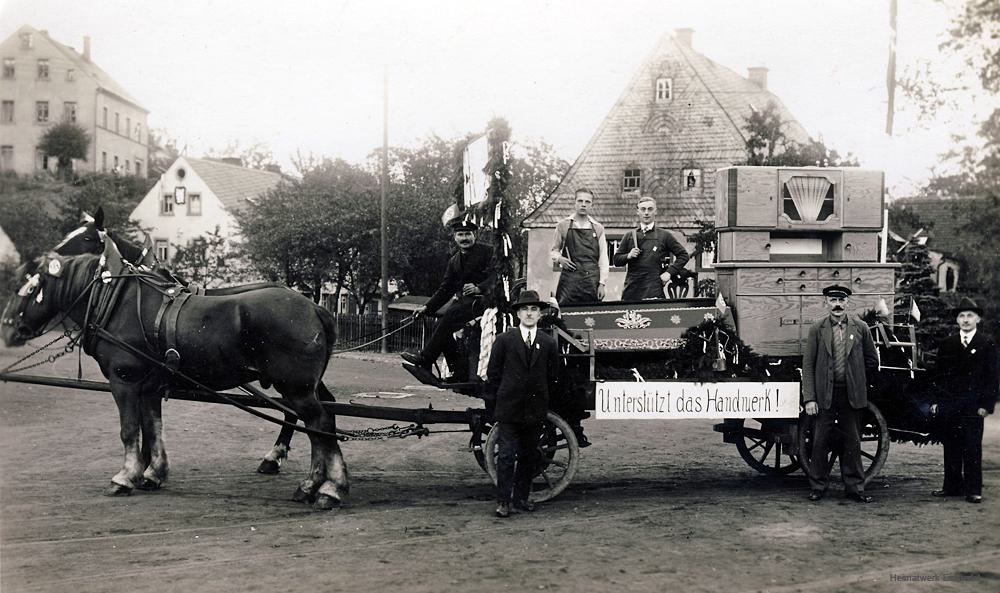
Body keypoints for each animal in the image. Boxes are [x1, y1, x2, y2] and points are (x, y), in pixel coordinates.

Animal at [0, 252, 350, 506]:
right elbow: (152, 428)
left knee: (318, 422)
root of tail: (317, 309)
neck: (118, 302)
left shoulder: (124, 381)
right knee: (322, 418)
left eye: (29, 288)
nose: (8, 329)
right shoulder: (148, 386)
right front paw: (152, 473)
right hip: (304, 385)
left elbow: (130, 430)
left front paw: (125, 477)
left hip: (295, 386)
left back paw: (328, 487)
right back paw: (311, 483)